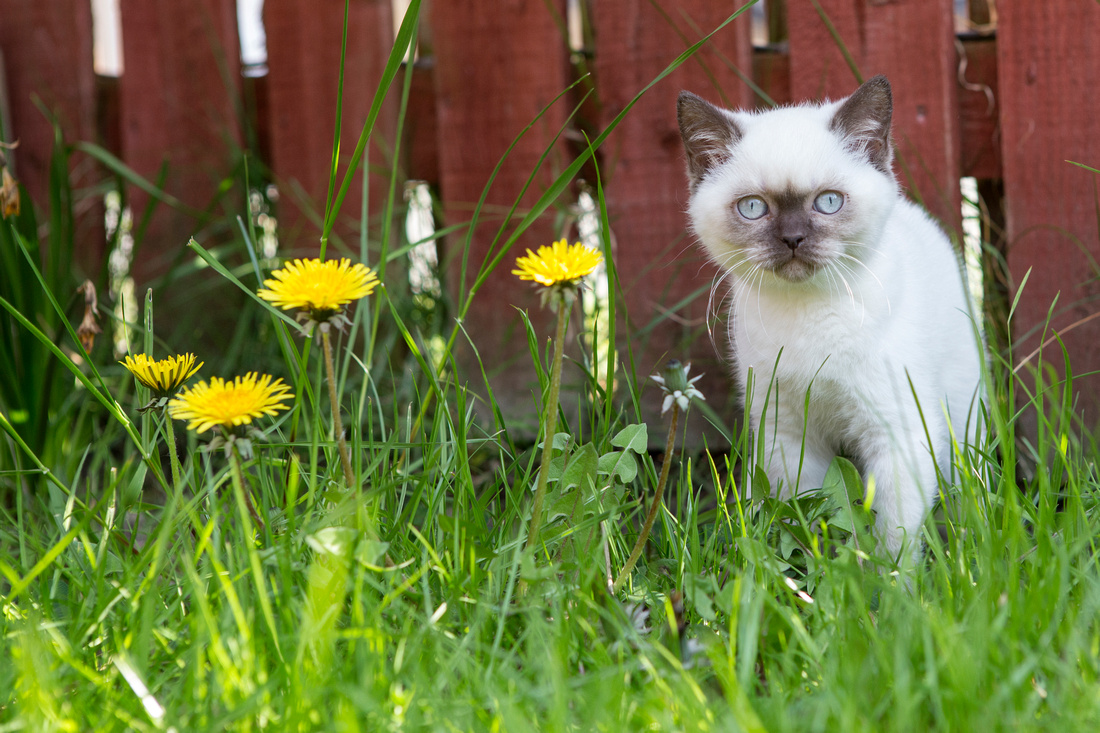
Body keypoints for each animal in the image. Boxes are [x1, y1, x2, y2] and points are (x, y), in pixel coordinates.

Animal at [673, 75, 985, 559]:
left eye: (829, 202)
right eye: (753, 208)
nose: (793, 239)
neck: (808, 316)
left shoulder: (896, 433)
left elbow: (892, 538)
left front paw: (888, 578)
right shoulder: (787, 436)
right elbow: (801, 515)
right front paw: (808, 569)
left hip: (961, 418)